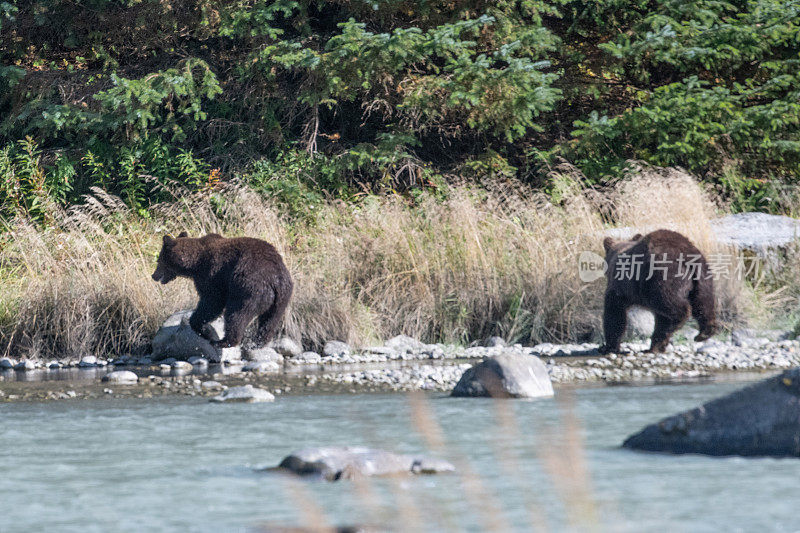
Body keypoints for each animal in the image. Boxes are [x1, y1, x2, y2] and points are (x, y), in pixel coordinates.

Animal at [152, 231, 292, 348]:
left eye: (159, 260)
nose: (154, 275)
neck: (195, 263)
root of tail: (275, 279)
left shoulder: (212, 274)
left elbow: (212, 302)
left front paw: (204, 330)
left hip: (249, 287)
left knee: (237, 314)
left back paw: (223, 342)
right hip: (282, 298)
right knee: (270, 320)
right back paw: (259, 342)